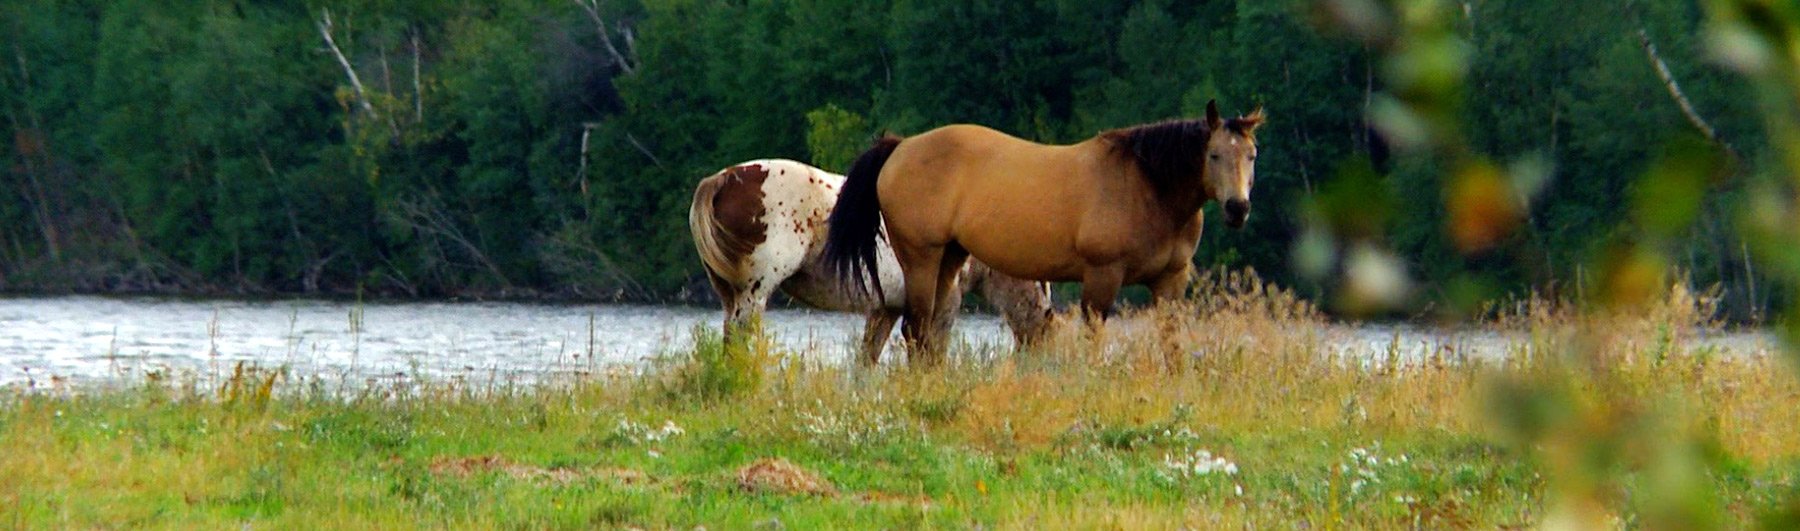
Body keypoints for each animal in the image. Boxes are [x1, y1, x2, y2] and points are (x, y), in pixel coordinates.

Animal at [689, 159, 1053, 365]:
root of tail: (723, 179)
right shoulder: (943, 303)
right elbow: (930, 352)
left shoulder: (886, 308)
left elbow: (868, 358)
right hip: (755, 291)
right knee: (740, 336)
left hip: (729, 293)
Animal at [823, 101, 1264, 363]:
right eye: (1213, 154)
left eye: (1252, 155)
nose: (1238, 208)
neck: (1146, 187)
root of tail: (900, 146)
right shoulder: (1103, 275)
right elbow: (1093, 337)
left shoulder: (1171, 279)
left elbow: (1171, 342)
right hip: (921, 257)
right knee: (915, 328)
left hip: (950, 258)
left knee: (927, 331)